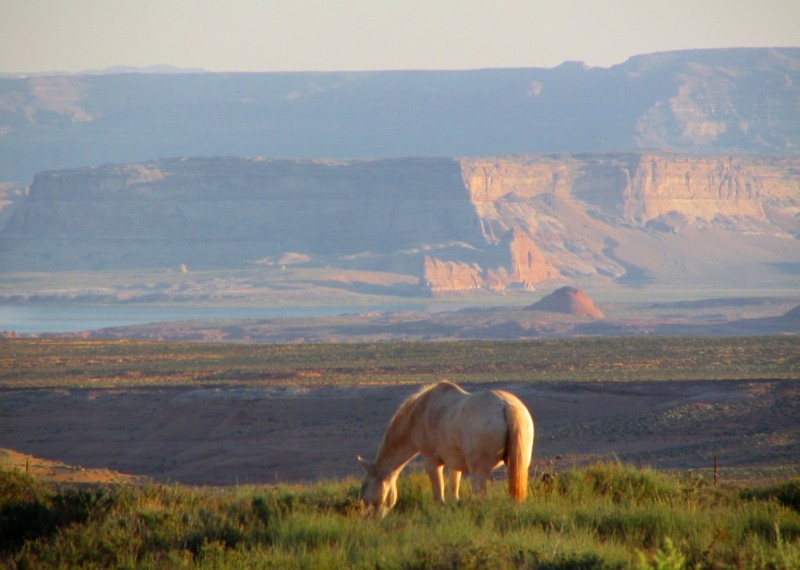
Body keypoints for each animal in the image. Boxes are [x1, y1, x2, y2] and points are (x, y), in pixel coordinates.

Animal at [360, 378, 536, 516]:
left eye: (365, 485)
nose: (370, 516)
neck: (419, 413)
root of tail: (508, 406)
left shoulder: (432, 462)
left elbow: (439, 496)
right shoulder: (454, 464)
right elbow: (453, 491)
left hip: (479, 471)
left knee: (481, 497)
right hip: (518, 467)